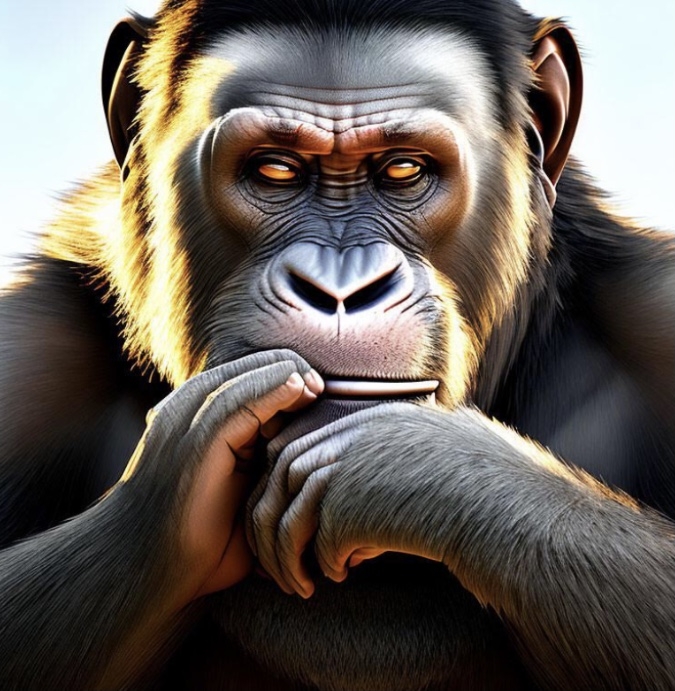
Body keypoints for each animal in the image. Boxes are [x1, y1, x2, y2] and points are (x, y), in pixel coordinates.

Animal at [0, 1, 674, 690]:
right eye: (275, 169)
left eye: (403, 169)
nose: (340, 288)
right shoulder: (30, 352)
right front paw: (173, 490)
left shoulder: (657, 318)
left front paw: (408, 463)